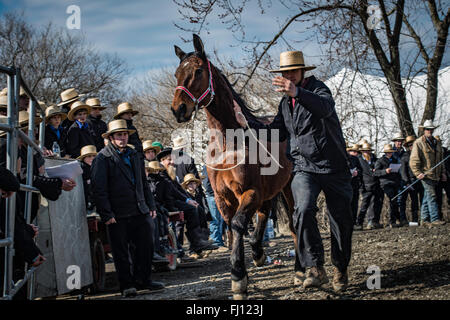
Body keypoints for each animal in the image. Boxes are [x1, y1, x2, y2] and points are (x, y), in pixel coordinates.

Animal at [172, 35, 298, 300]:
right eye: (177, 73)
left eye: (198, 71)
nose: (178, 109)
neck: (227, 144)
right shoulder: (222, 198)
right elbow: (232, 227)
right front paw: (242, 272)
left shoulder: (250, 192)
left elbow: (240, 225)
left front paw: (239, 278)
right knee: (264, 215)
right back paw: (259, 252)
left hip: (288, 186)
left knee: (293, 221)